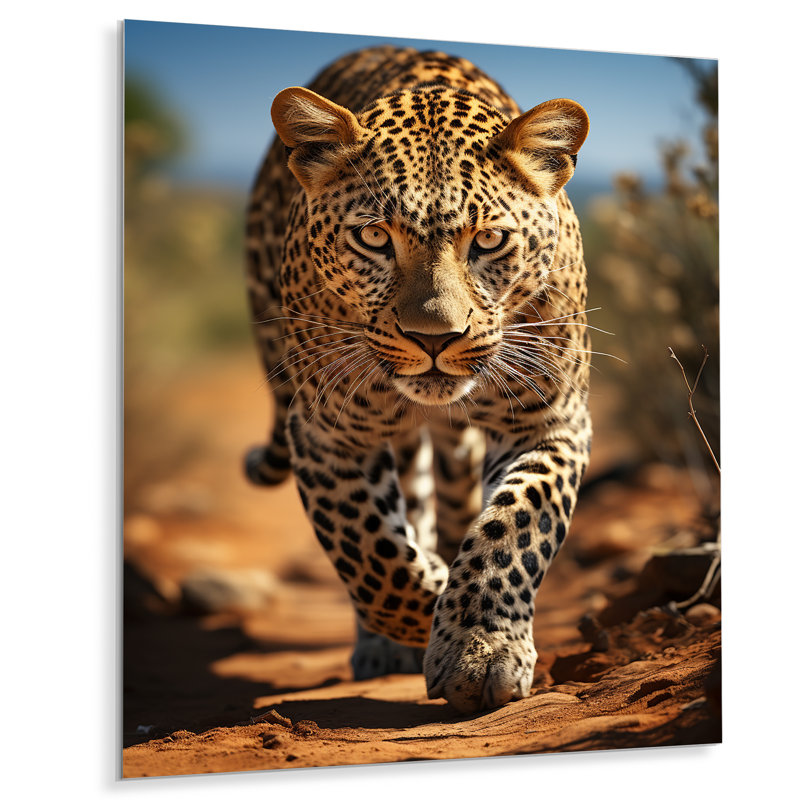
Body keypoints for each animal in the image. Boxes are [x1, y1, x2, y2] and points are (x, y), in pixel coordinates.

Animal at [244, 45, 592, 713]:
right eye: (374, 237)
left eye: (489, 240)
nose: (434, 339)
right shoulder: (326, 432)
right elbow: (373, 555)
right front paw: (432, 603)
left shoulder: (550, 420)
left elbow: (513, 525)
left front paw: (480, 645)